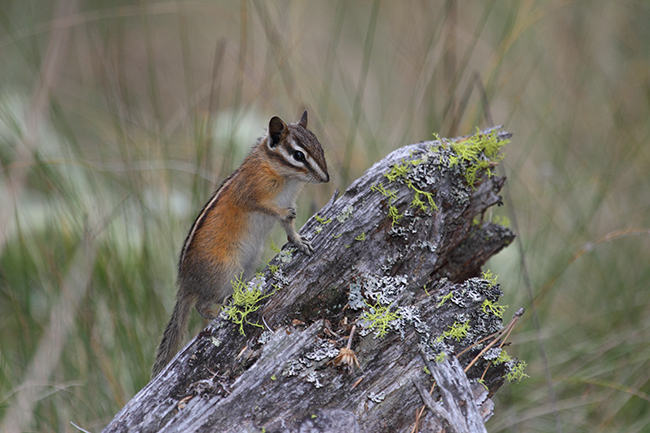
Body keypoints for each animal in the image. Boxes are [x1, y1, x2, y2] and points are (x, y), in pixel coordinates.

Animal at [151, 110, 329, 378]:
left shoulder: (289, 200)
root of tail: (185, 284)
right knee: (201, 306)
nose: (326, 178)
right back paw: (220, 311)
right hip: (226, 270)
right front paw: (285, 217)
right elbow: (265, 207)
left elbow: (289, 227)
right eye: (299, 155)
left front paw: (300, 242)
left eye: (319, 146)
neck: (283, 175)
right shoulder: (252, 193)